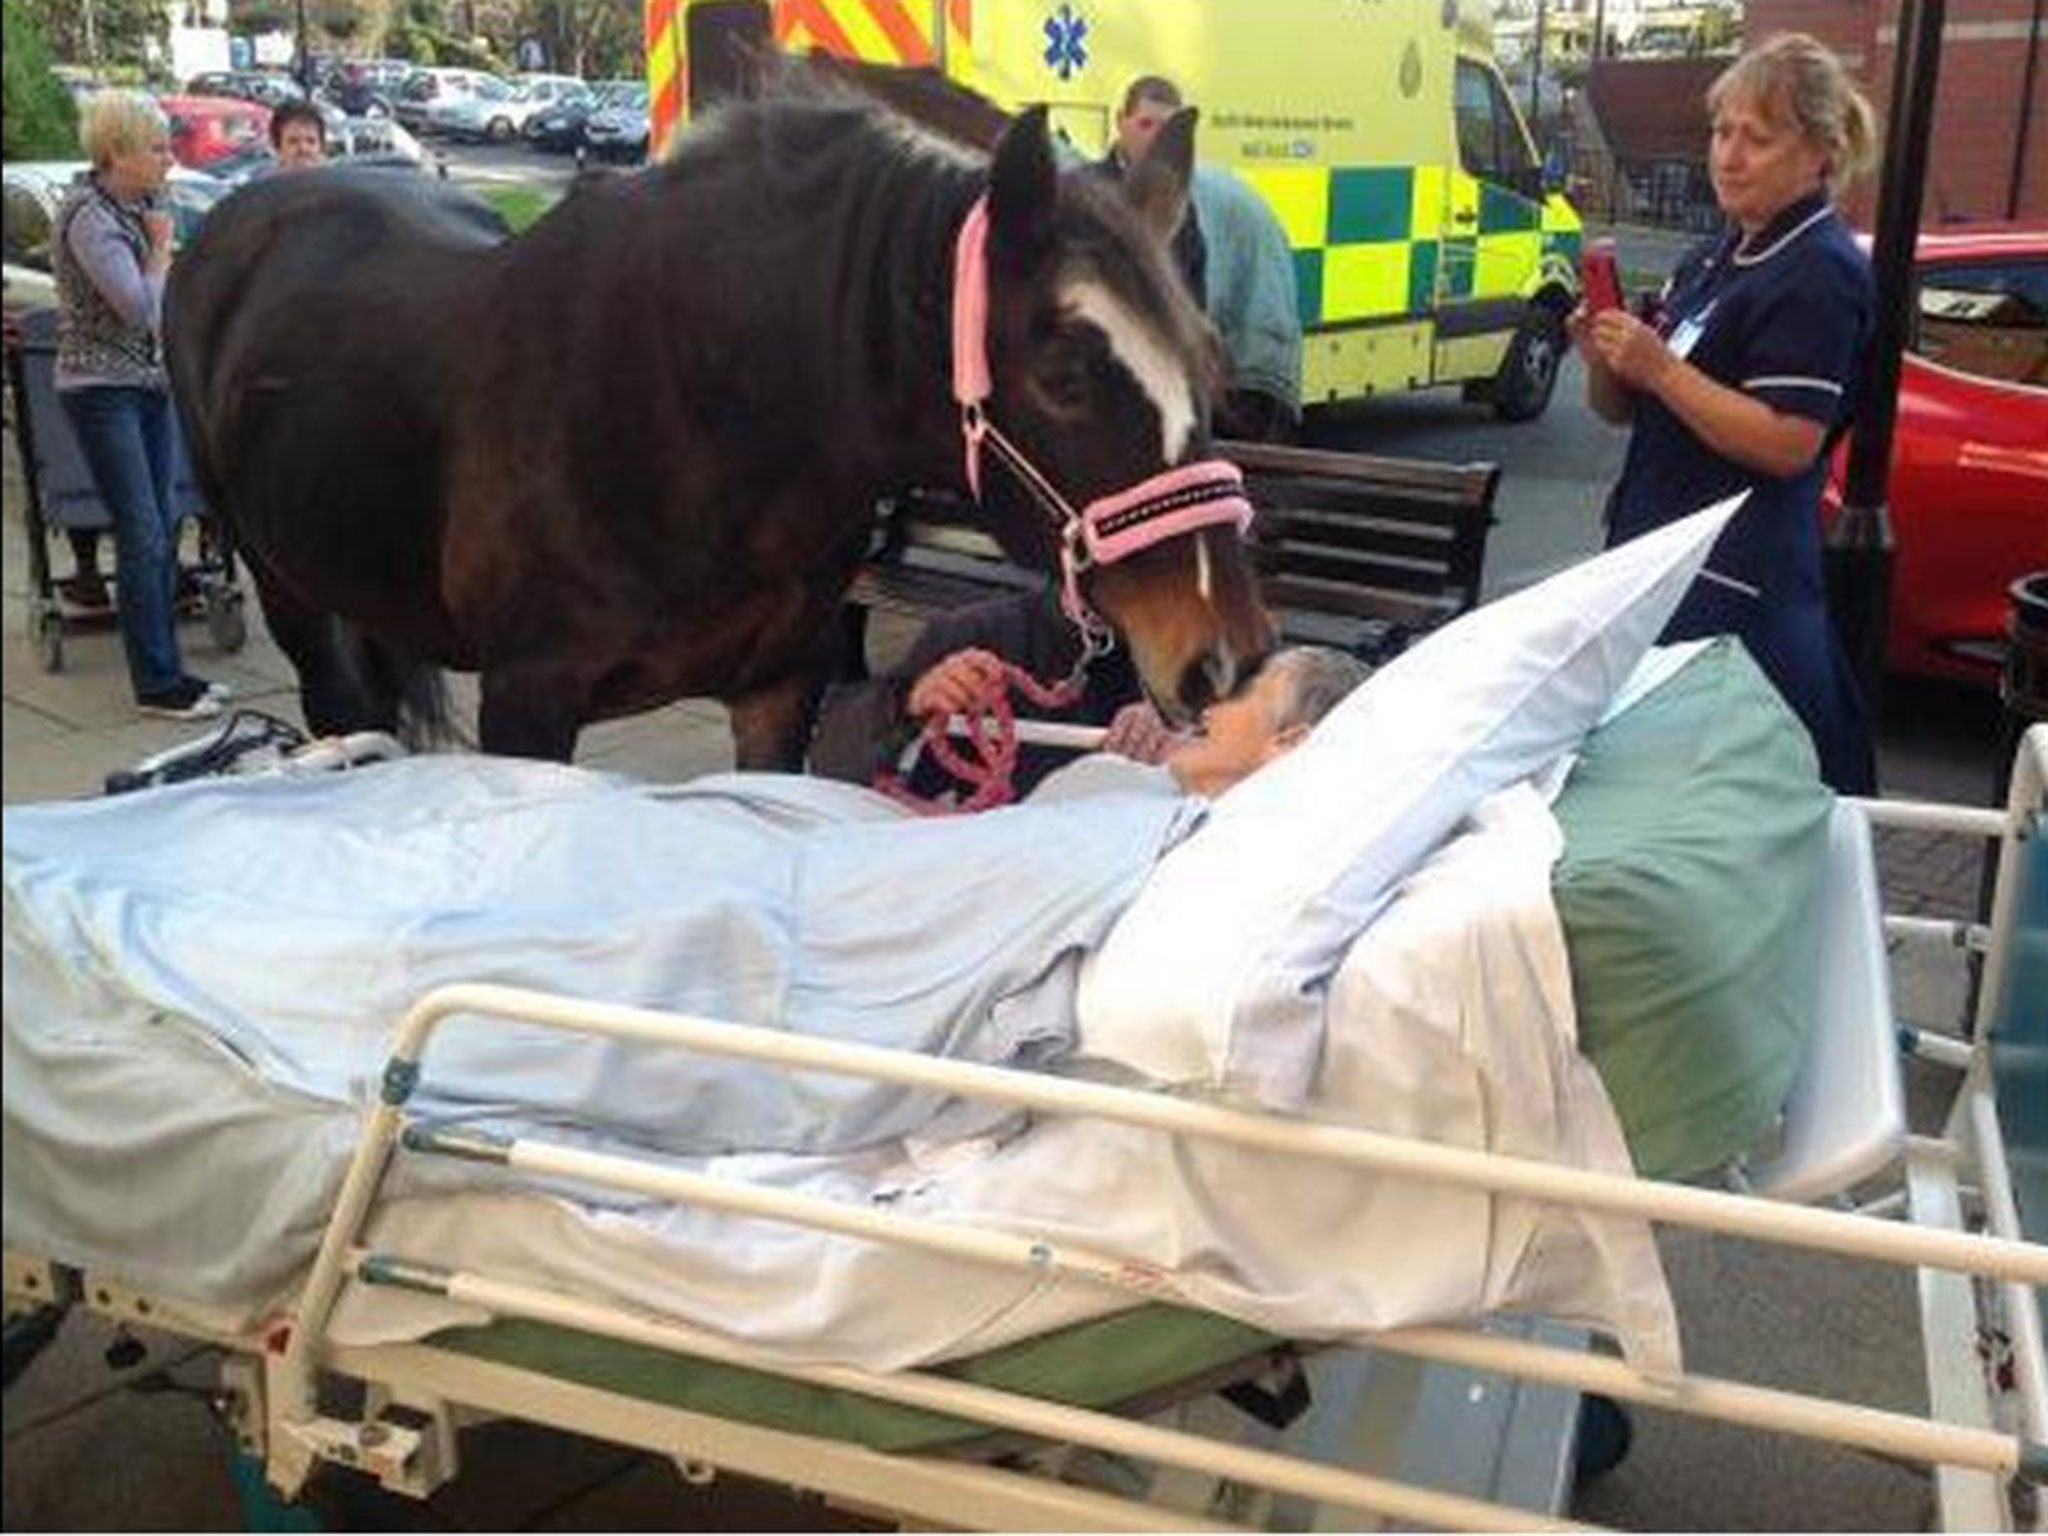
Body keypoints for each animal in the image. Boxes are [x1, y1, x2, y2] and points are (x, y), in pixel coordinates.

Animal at [167, 82, 1269, 765]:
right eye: (1064, 376)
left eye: (1208, 363)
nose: (1229, 660)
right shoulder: (527, 702)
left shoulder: (779, 690)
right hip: (288, 587)